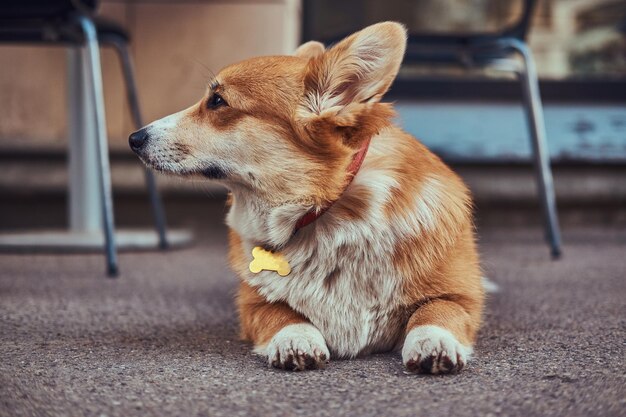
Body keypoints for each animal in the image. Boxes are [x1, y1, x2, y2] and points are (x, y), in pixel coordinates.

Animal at [129, 22, 482, 374]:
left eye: (217, 101)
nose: (134, 138)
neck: (322, 210)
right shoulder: (254, 304)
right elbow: (283, 314)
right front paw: (294, 339)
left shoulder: (461, 296)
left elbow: (435, 311)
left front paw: (434, 343)